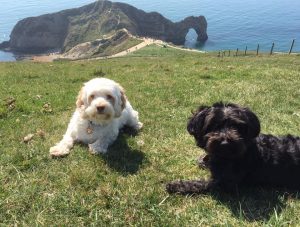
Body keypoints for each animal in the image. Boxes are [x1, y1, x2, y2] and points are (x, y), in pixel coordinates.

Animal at [166, 102, 300, 194]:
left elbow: (200, 184)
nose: (225, 143)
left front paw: (177, 185)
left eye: (236, 126)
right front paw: (204, 160)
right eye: (214, 125)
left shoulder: (225, 183)